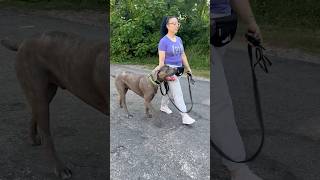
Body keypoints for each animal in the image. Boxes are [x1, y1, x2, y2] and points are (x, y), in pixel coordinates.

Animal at [0, 31, 108, 179]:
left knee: (34, 113)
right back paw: (60, 168)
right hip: (38, 93)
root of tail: (23, 43)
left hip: (47, 93)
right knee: (46, 134)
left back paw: (33, 138)